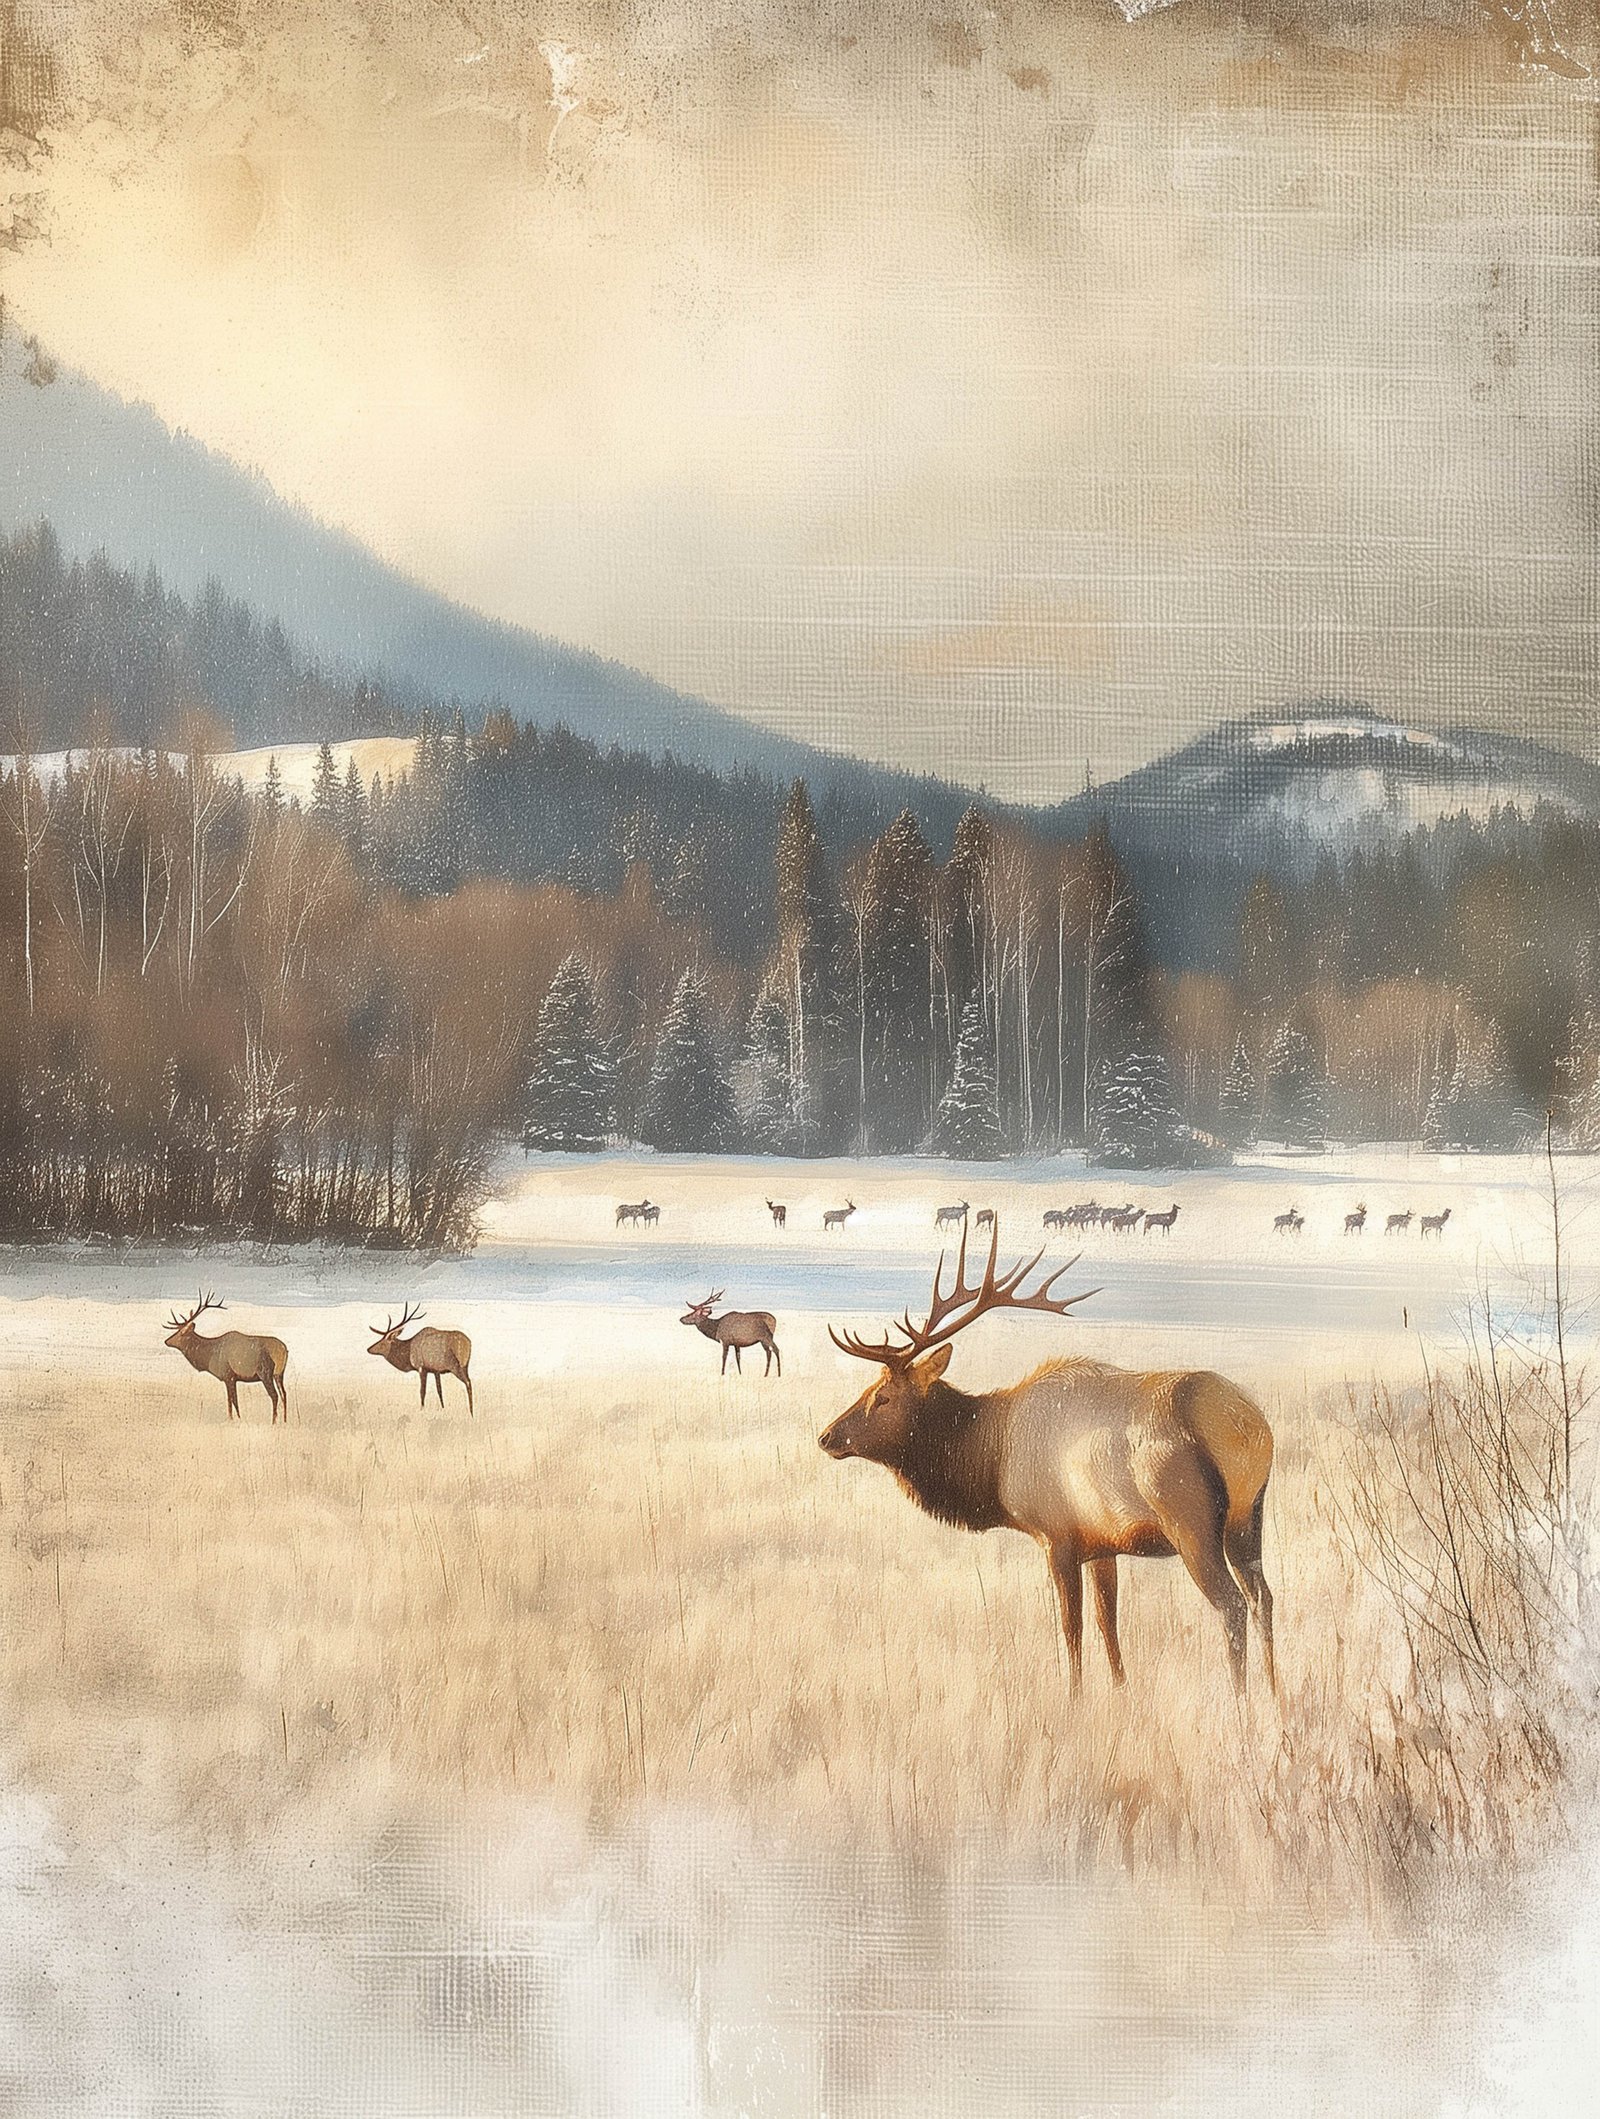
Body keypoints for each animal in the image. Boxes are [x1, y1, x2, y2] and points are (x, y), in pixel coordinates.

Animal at [164, 1293, 290, 1424]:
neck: (209, 1357)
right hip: (279, 1373)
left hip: (265, 1372)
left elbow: (231, 1400)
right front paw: (237, 1418)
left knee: (274, 1395)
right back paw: (285, 1420)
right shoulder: (233, 1379)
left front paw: (233, 1419)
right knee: (284, 1394)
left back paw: (274, 1422)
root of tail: (283, 1350)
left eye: (180, 1332)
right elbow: (234, 1400)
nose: (166, 1341)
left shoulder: (228, 1375)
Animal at [819, 1221, 1276, 1696]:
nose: (826, 1436)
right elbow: (1108, 1624)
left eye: (883, 1396)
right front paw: (1120, 1692)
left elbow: (1071, 1628)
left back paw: (1240, 1701)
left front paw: (1073, 1699)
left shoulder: (1057, 1537)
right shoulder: (1102, 1544)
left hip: (1190, 1522)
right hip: (1248, 1517)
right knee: (1264, 1597)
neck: (992, 1457)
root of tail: (1247, 1426)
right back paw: (1275, 1696)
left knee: (1231, 1605)